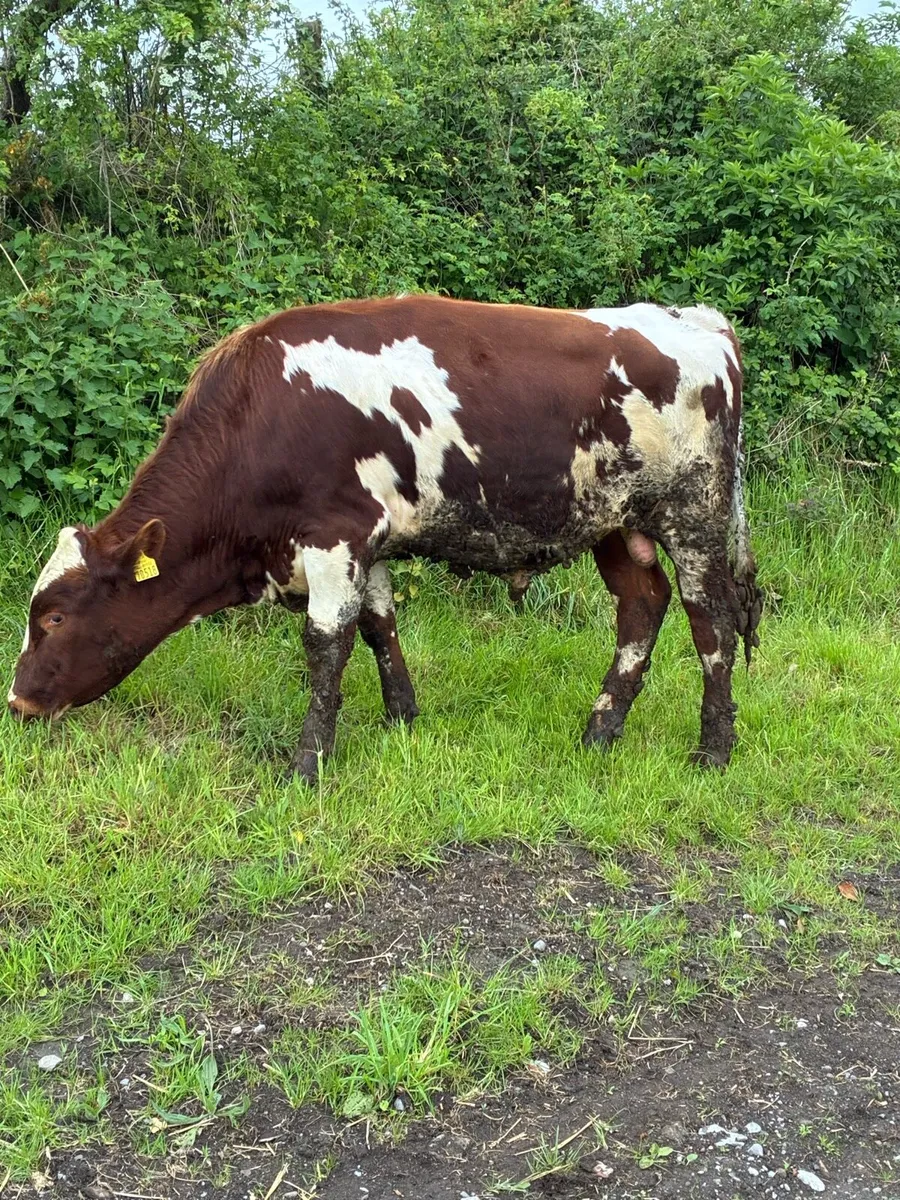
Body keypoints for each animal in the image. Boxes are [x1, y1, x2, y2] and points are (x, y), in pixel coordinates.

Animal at [8, 295, 762, 782]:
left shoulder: (333, 536)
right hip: (616, 521)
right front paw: (402, 718)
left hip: (693, 515)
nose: (17, 702)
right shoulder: (365, 541)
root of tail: (696, 320)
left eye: (54, 617)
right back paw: (601, 730)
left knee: (712, 621)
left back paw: (714, 751)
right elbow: (377, 627)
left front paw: (308, 763)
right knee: (642, 605)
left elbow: (325, 647)